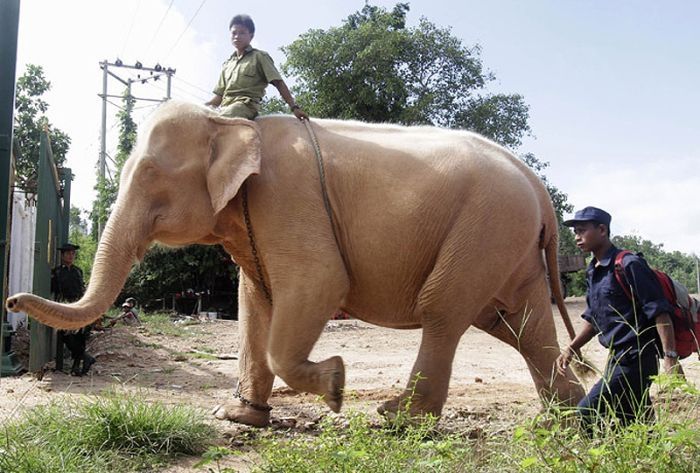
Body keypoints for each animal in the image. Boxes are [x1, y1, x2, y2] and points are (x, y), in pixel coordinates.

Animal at [6, 101, 584, 426]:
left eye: (148, 173)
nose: (11, 298)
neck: (232, 124)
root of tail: (536, 184)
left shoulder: (287, 203)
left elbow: (318, 285)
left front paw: (336, 386)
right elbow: (253, 306)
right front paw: (238, 417)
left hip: (484, 229)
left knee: (444, 312)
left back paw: (396, 419)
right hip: (504, 241)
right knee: (520, 324)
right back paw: (575, 417)